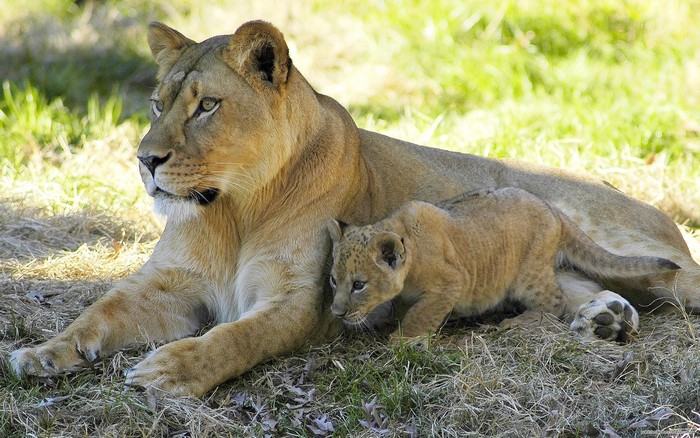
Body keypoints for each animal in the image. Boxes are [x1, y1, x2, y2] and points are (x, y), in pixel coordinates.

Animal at [327, 188, 680, 341]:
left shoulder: (449, 283)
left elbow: (420, 316)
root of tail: (554, 210)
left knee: (555, 303)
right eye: (333, 280)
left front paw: (402, 343)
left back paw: (515, 323)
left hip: (528, 275)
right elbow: (407, 309)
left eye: (358, 285)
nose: (336, 312)